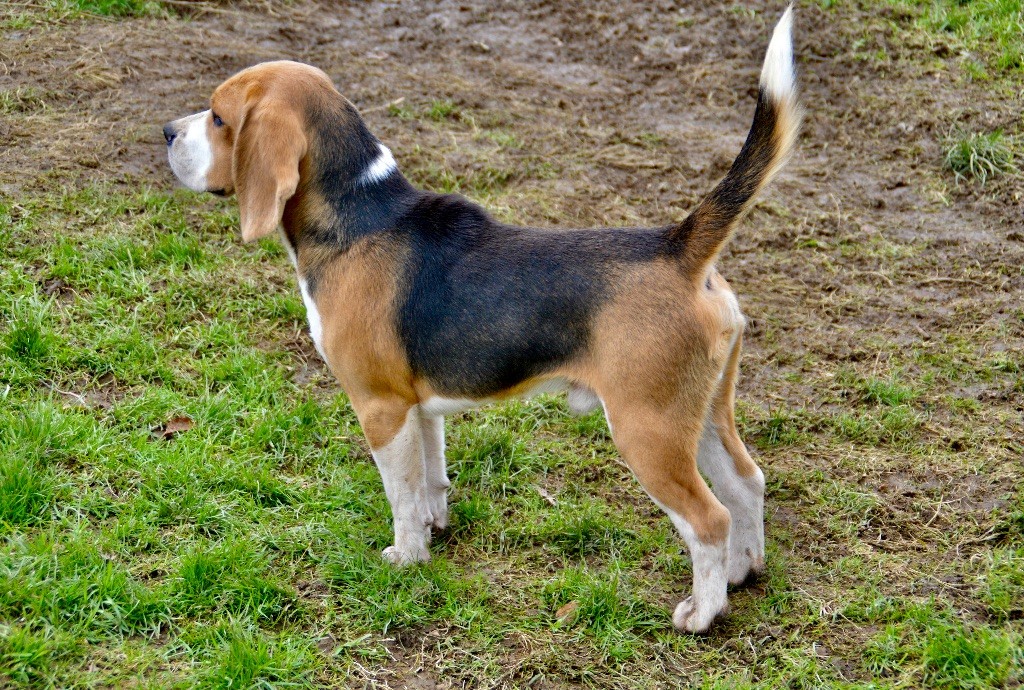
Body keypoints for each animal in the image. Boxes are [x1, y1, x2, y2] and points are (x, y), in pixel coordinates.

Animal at [163, 8, 798, 630]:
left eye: (218, 118)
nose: (168, 131)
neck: (359, 214)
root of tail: (679, 246)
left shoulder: (380, 406)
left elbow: (402, 495)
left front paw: (406, 558)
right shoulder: (416, 407)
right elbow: (430, 480)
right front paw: (435, 530)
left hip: (649, 430)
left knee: (709, 519)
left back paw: (702, 612)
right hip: (704, 412)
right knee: (746, 484)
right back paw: (743, 572)